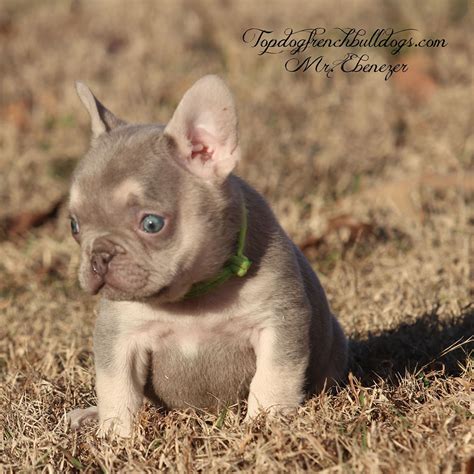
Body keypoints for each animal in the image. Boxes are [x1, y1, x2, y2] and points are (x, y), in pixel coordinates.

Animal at [66, 75, 346, 436]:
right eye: (74, 225)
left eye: (152, 224)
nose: (100, 255)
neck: (192, 298)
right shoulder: (120, 336)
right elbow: (117, 389)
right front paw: (115, 436)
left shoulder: (279, 322)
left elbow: (272, 380)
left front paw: (263, 426)